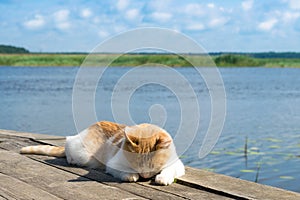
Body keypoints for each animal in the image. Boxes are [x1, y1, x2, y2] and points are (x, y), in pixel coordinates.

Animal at [19, 121, 184, 185]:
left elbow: (169, 170)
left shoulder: (178, 165)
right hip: (81, 153)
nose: (144, 176)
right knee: (68, 142)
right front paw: (131, 175)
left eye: (153, 166)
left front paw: (162, 178)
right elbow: (124, 171)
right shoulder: (112, 164)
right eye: (135, 165)